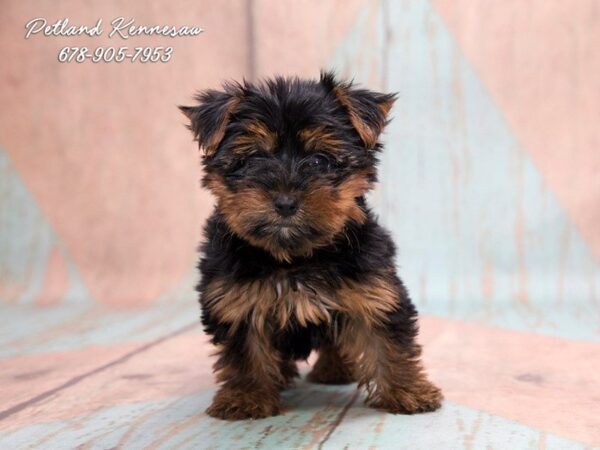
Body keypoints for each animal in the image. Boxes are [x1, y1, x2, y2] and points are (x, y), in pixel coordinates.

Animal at [178, 71, 440, 422]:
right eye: (254, 159)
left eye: (319, 160)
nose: (285, 202)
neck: (293, 258)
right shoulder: (236, 301)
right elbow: (246, 352)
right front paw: (246, 398)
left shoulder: (373, 291)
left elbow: (387, 341)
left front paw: (408, 391)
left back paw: (334, 370)